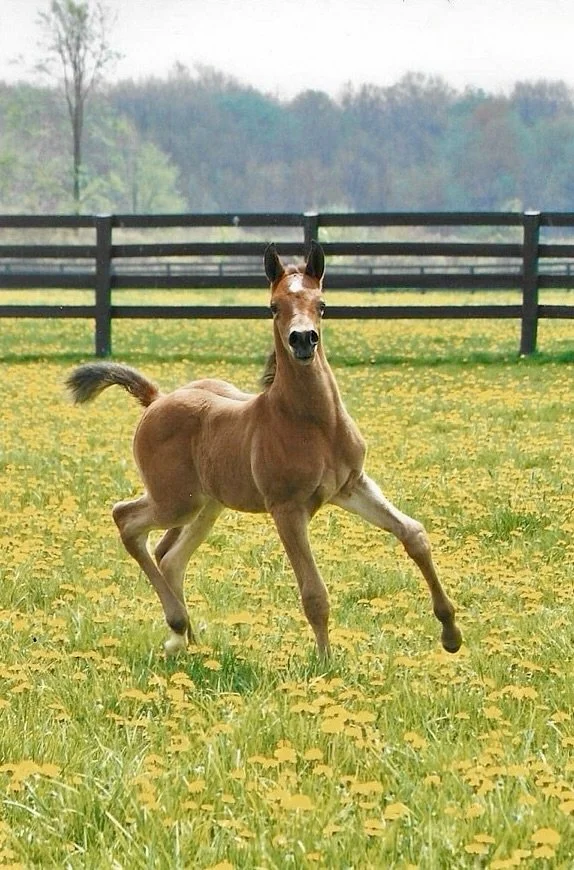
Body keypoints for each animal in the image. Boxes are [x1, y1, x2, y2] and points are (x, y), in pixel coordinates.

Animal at [66, 241, 462, 659]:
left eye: (322, 304)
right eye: (274, 306)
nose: (303, 339)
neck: (313, 424)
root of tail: (157, 399)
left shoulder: (351, 485)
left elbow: (414, 534)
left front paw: (451, 633)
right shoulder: (286, 509)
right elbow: (314, 593)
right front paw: (326, 664)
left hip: (207, 504)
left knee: (170, 557)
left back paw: (190, 639)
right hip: (174, 501)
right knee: (126, 520)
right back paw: (176, 626)